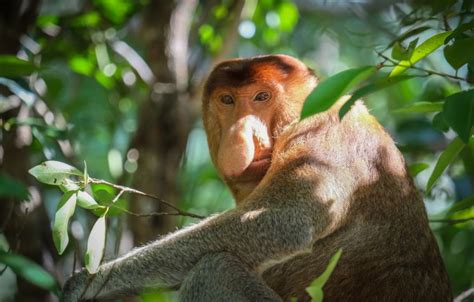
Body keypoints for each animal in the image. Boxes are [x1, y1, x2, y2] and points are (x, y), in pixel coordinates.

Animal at [63, 54, 452, 302]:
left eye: (261, 96)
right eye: (227, 100)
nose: (241, 134)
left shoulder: (325, 134)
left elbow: (282, 220)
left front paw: (84, 284)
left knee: (215, 269)